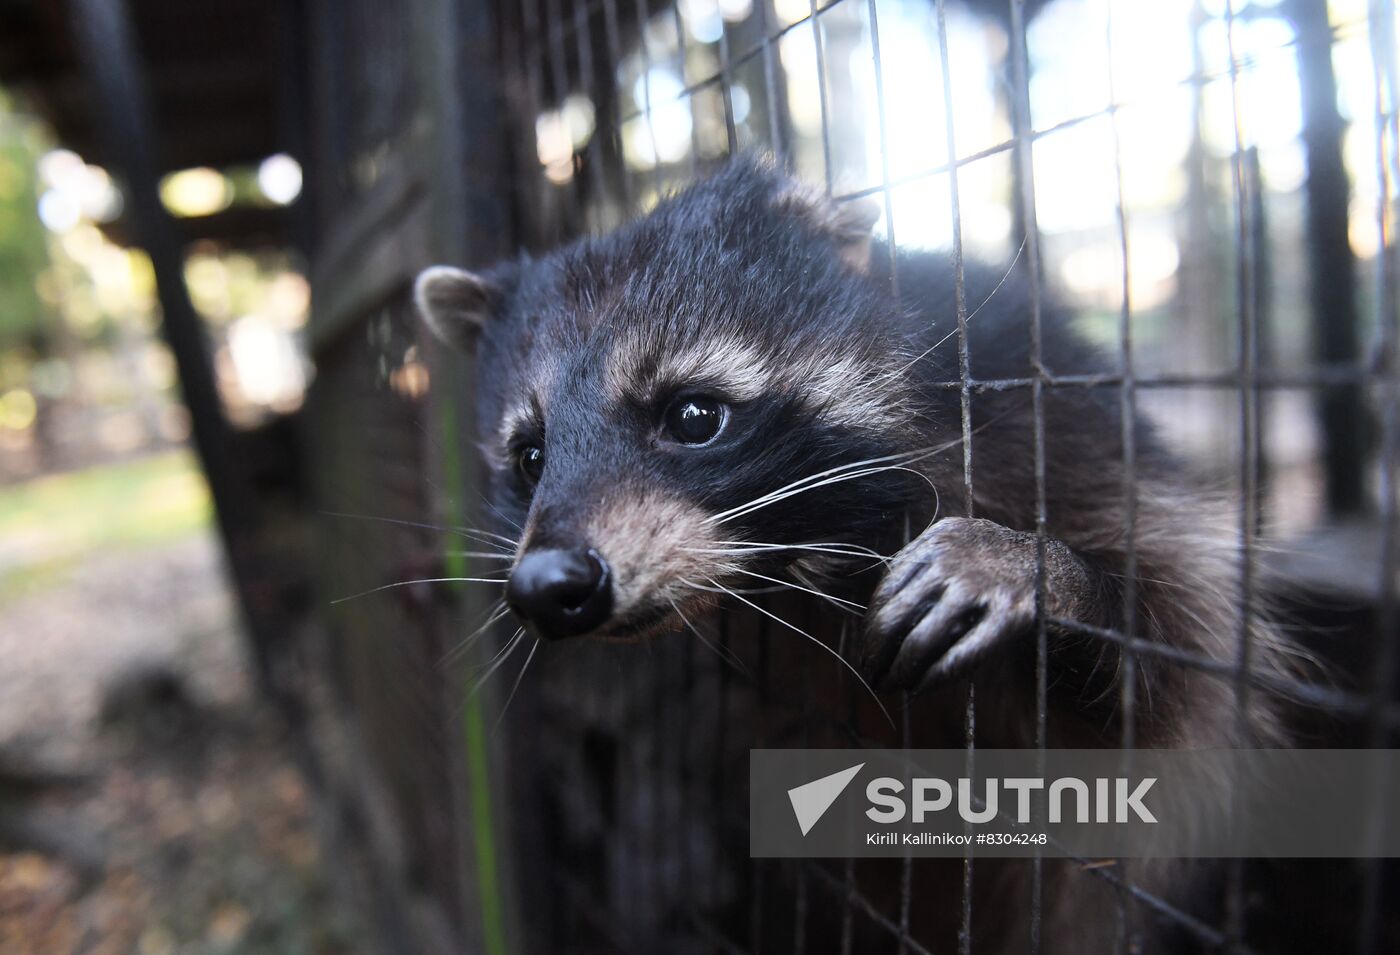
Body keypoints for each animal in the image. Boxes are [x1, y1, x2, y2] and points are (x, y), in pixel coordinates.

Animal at [414, 158, 1288, 952]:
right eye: (530, 457)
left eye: (694, 415)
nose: (545, 584)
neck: (807, 564)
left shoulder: (1061, 430)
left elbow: (1179, 677)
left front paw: (1044, 574)